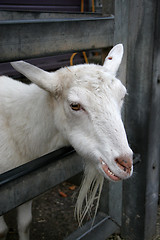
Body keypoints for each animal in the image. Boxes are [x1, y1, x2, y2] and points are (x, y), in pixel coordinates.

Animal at [0, 44, 132, 239]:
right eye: (75, 105)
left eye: (122, 96)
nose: (125, 163)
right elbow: (2, 230)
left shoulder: (22, 189)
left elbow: (25, 223)